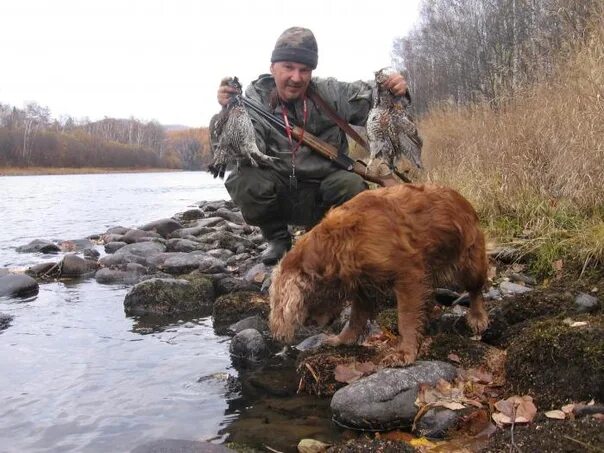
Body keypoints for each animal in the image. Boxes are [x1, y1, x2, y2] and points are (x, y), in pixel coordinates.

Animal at [268, 184, 490, 364]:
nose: (309, 323)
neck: (341, 242)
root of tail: (463, 200)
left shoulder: (409, 275)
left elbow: (406, 318)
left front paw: (405, 352)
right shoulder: (363, 286)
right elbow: (355, 318)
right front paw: (342, 340)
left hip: (470, 263)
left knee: (476, 290)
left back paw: (477, 317)